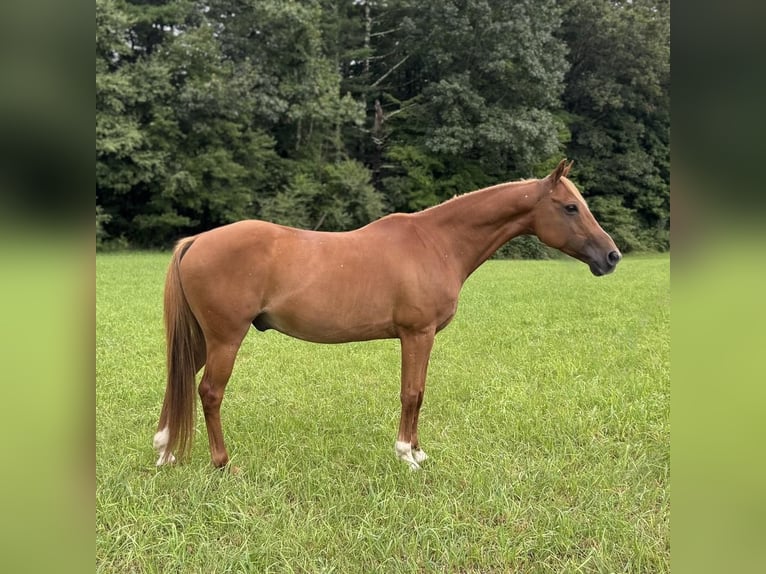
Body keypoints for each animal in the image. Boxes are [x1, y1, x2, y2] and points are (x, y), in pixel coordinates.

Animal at [153, 160, 620, 470]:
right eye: (570, 207)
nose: (612, 257)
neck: (436, 243)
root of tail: (197, 241)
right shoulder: (418, 334)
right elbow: (412, 393)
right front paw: (407, 456)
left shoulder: (420, 337)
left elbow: (420, 392)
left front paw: (418, 450)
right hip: (226, 339)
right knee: (209, 392)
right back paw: (221, 462)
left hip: (203, 339)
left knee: (179, 380)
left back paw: (166, 450)